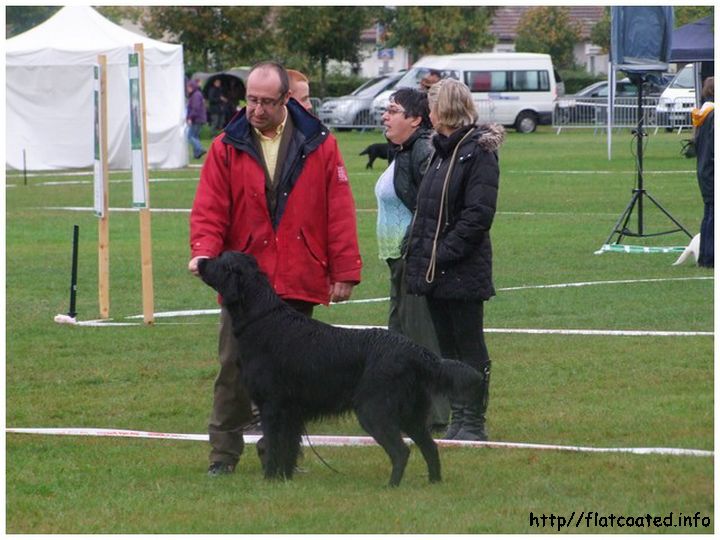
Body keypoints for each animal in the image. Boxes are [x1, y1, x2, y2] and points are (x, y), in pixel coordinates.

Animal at [197, 251, 480, 488]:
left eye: (220, 259)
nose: (199, 261)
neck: (261, 319)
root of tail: (416, 350)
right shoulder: (292, 411)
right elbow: (288, 448)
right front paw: (284, 480)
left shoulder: (272, 406)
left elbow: (273, 446)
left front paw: (269, 479)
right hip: (411, 413)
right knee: (430, 447)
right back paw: (434, 483)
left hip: (374, 410)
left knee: (402, 451)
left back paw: (391, 487)